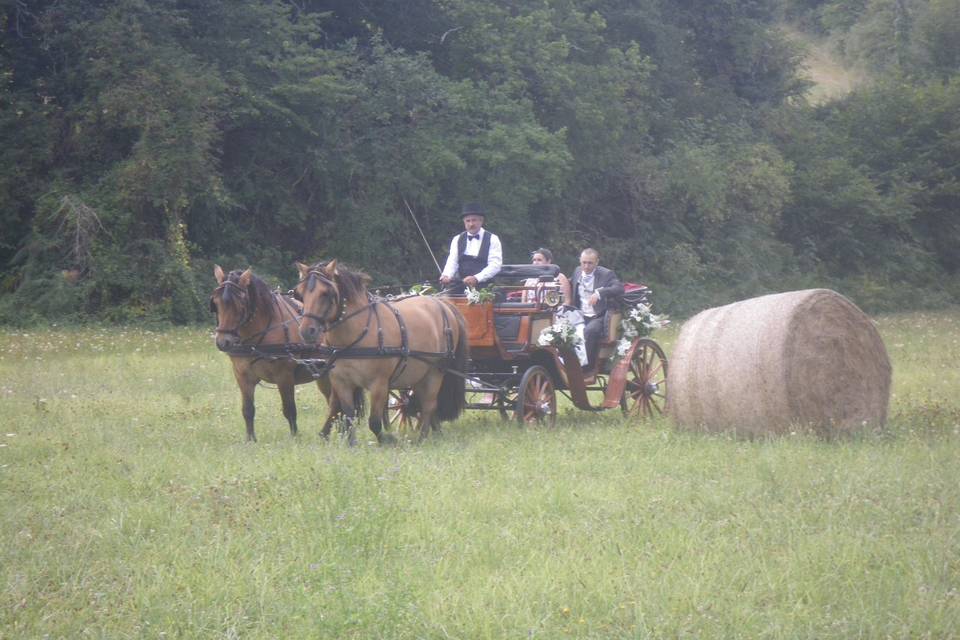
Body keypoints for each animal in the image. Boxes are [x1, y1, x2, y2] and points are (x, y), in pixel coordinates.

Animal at [210, 264, 352, 440]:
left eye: (240, 304)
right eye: (216, 302)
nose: (223, 342)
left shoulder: (284, 376)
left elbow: (289, 409)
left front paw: (294, 438)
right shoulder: (242, 375)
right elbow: (248, 410)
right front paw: (250, 440)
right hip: (324, 377)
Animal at [296, 260, 468, 444]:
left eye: (326, 293)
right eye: (300, 293)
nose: (307, 331)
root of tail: (443, 304)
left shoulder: (379, 384)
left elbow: (374, 422)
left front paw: (388, 440)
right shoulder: (341, 381)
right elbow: (348, 414)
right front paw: (351, 443)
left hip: (435, 371)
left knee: (429, 405)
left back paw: (421, 438)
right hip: (419, 373)